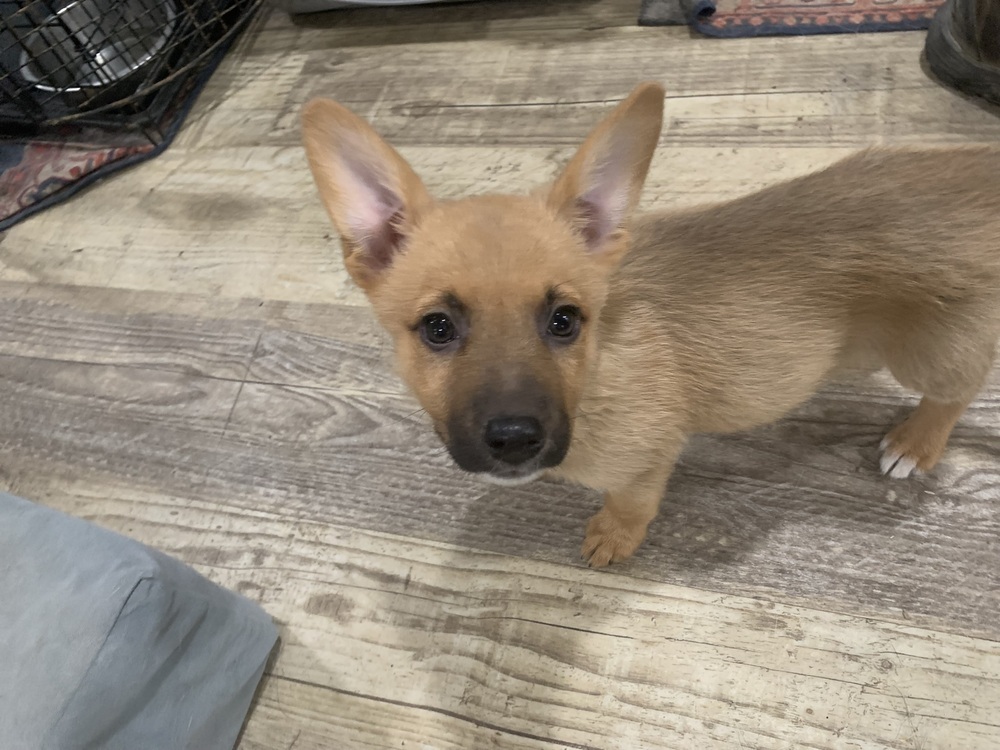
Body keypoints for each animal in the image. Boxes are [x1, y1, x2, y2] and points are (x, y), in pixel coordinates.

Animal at [300, 85, 1000, 568]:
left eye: (565, 321)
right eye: (437, 329)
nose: (515, 440)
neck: (601, 370)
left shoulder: (647, 460)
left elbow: (631, 503)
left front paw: (613, 538)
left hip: (930, 349)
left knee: (960, 389)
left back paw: (915, 443)